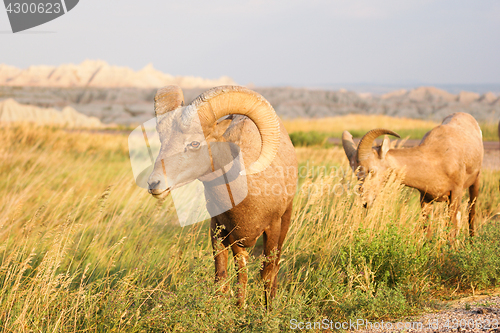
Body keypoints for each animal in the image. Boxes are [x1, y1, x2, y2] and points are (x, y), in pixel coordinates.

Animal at [148, 85, 296, 306]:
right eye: (162, 141)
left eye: (194, 143)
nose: (154, 184)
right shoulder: (224, 233)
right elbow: (228, 278)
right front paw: (238, 309)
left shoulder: (273, 227)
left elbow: (267, 275)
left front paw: (268, 310)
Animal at [342, 112, 482, 236]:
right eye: (356, 173)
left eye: (372, 170)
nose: (365, 202)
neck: (436, 158)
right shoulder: (425, 200)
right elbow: (428, 232)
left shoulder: (455, 195)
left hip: (474, 184)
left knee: (471, 213)